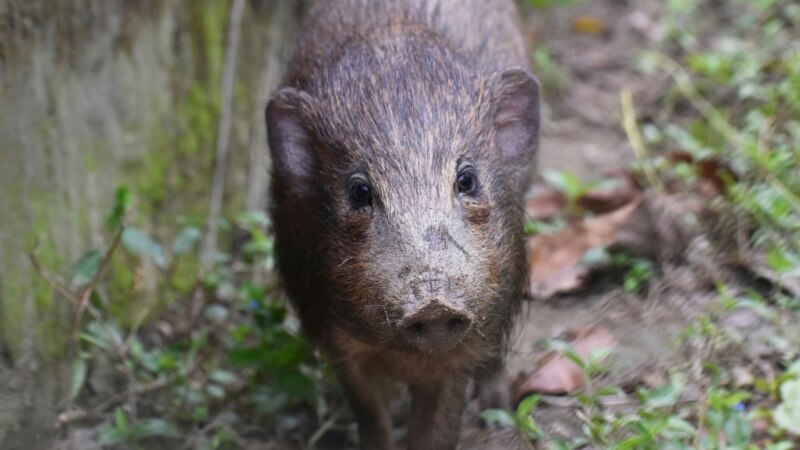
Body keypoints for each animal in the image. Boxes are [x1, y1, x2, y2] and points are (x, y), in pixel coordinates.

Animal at [265, 0, 539, 448]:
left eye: (467, 179)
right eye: (360, 191)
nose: (434, 303)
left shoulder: (470, 342)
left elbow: (437, 428)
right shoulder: (337, 341)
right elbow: (371, 418)